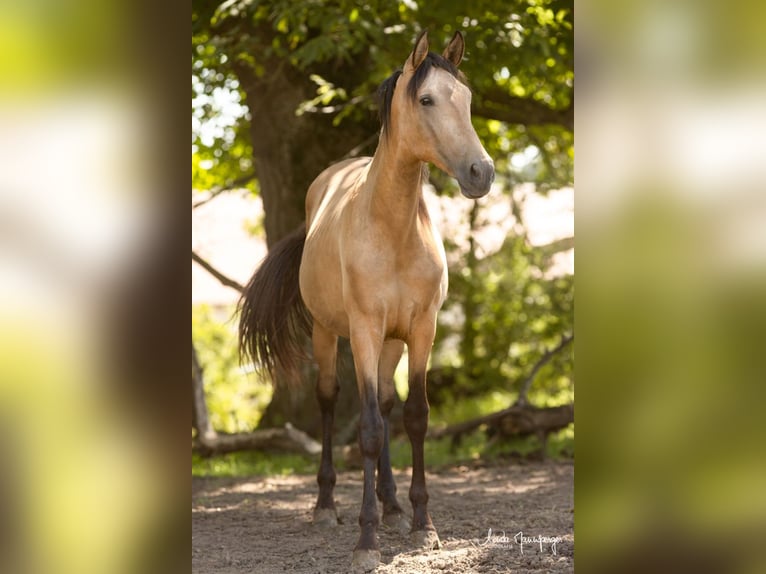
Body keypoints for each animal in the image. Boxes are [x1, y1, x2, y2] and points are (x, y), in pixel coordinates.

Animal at [239, 30, 494, 571]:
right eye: (426, 99)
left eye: (466, 99)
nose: (481, 172)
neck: (392, 230)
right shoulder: (363, 331)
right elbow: (371, 428)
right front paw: (366, 538)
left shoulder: (421, 331)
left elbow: (413, 416)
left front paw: (421, 524)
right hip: (328, 334)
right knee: (332, 401)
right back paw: (326, 506)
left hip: (391, 343)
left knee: (390, 401)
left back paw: (392, 505)